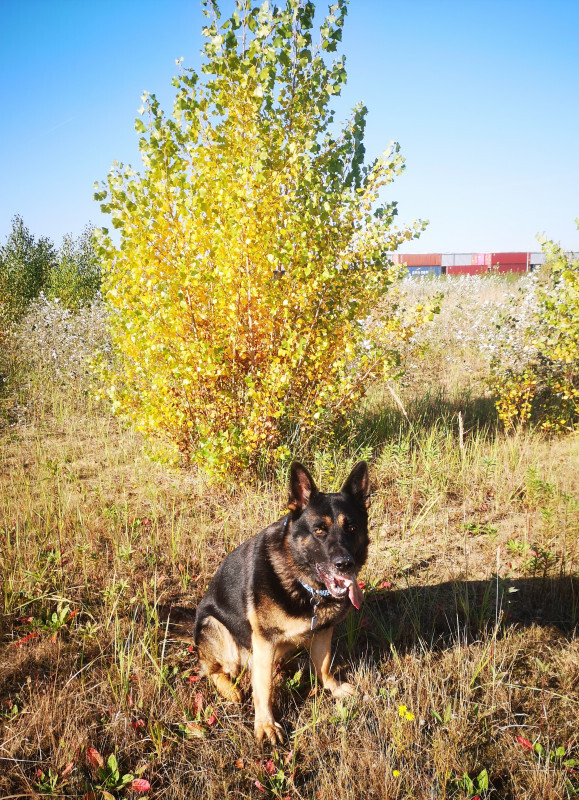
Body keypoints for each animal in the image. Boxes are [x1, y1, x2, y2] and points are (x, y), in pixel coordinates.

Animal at [193, 460, 370, 748]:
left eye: (352, 528)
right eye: (319, 530)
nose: (345, 564)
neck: (305, 585)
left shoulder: (323, 631)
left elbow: (323, 664)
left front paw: (332, 687)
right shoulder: (264, 640)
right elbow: (263, 688)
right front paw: (265, 724)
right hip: (216, 629)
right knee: (213, 670)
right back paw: (231, 689)